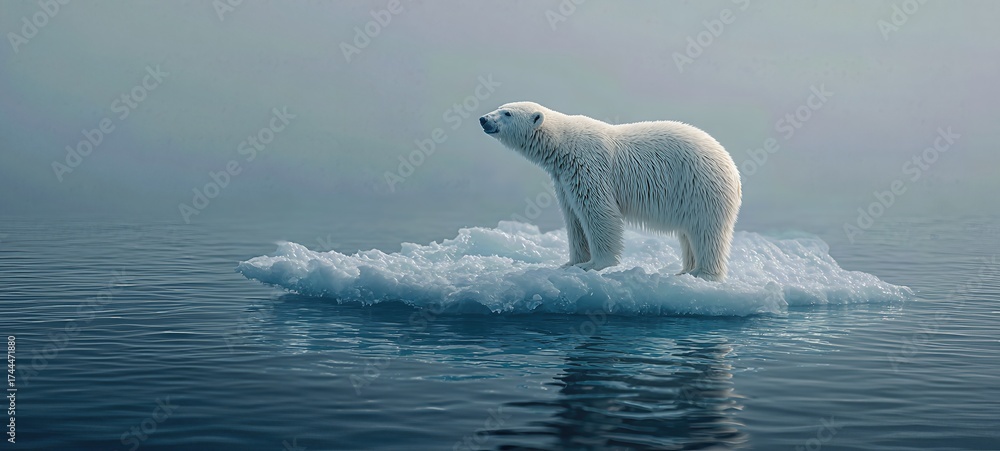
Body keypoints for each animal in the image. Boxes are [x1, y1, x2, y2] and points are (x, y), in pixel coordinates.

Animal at [479, 101, 741, 281]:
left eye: (507, 113)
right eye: (500, 107)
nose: (483, 119)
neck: (563, 145)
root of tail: (732, 167)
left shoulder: (589, 166)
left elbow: (599, 213)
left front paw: (594, 265)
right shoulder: (564, 178)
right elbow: (573, 218)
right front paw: (571, 263)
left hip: (700, 187)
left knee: (706, 231)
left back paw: (704, 273)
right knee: (688, 234)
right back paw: (684, 271)